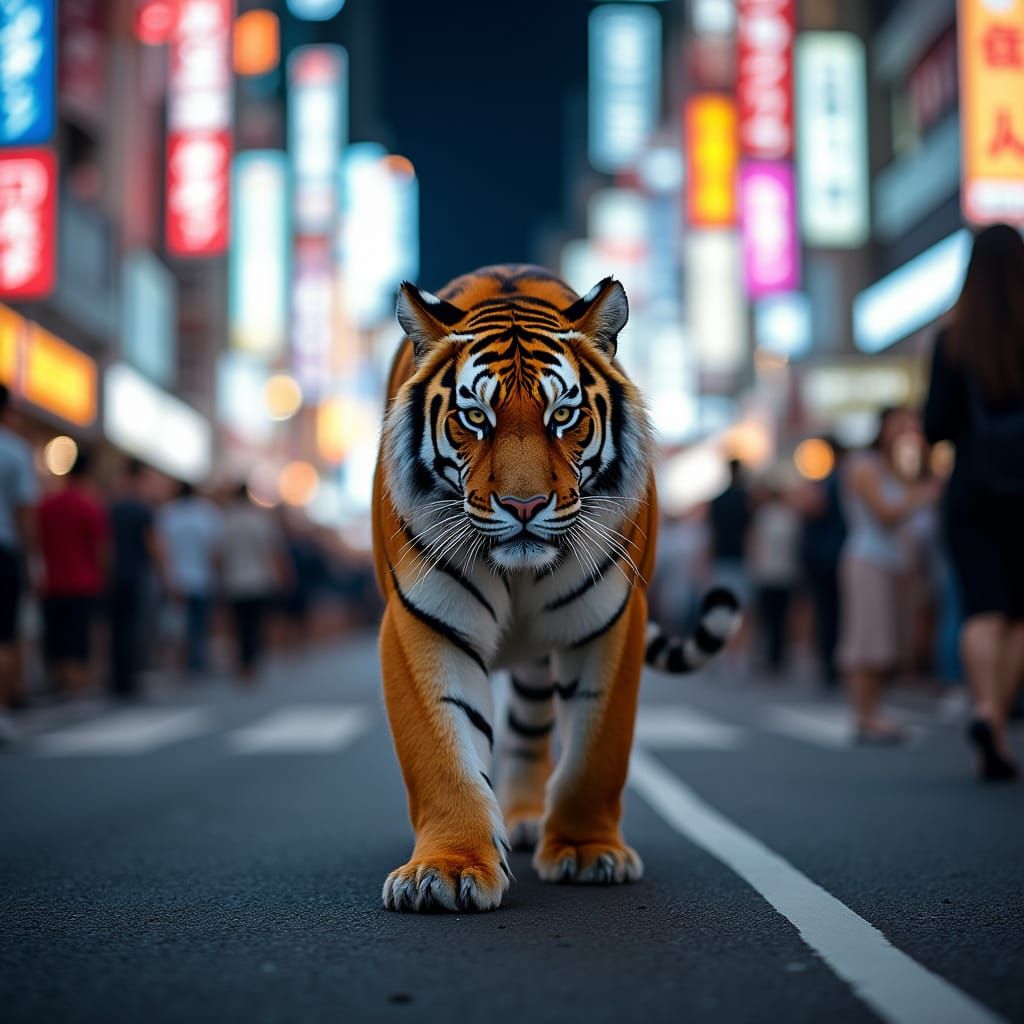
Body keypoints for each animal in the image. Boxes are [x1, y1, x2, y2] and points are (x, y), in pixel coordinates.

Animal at [372, 264, 740, 913]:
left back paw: (525, 820)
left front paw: (587, 852)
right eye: (475, 418)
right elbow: (443, 755)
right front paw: (446, 870)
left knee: (530, 728)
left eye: (562, 416)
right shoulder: (423, 623)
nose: (523, 506)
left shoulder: (608, 622)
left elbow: (595, 754)